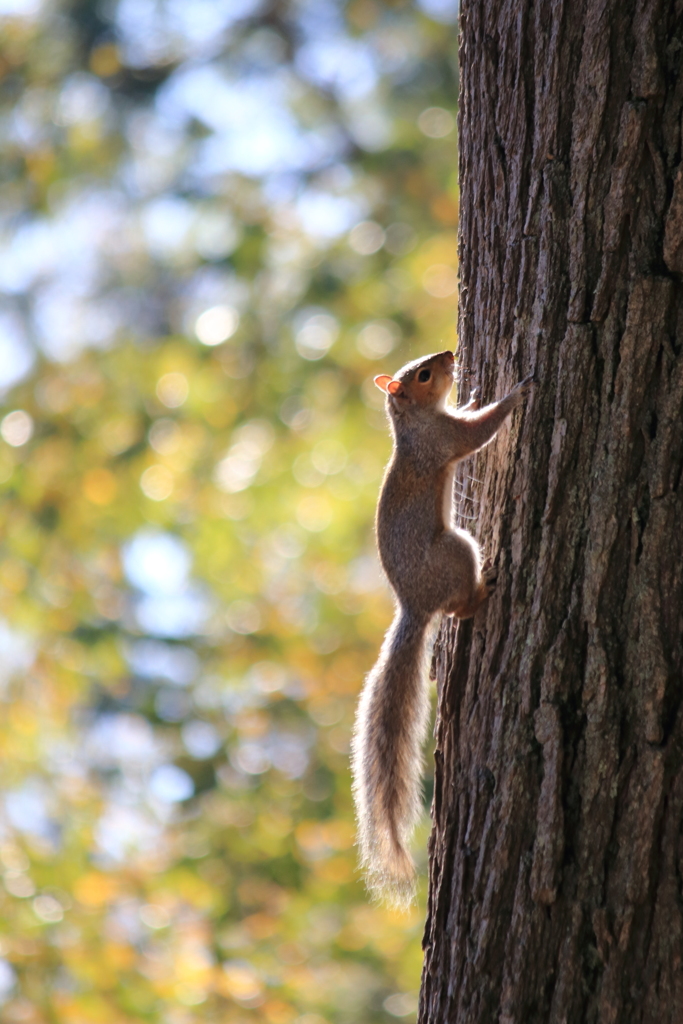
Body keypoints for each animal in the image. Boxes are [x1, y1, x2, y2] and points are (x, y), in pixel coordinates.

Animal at [352, 352, 532, 905]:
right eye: (424, 375)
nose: (451, 356)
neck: (413, 423)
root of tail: (415, 605)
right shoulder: (445, 440)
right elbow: (477, 434)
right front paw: (514, 394)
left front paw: (474, 395)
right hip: (458, 549)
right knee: (460, 610)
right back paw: (484, 590)